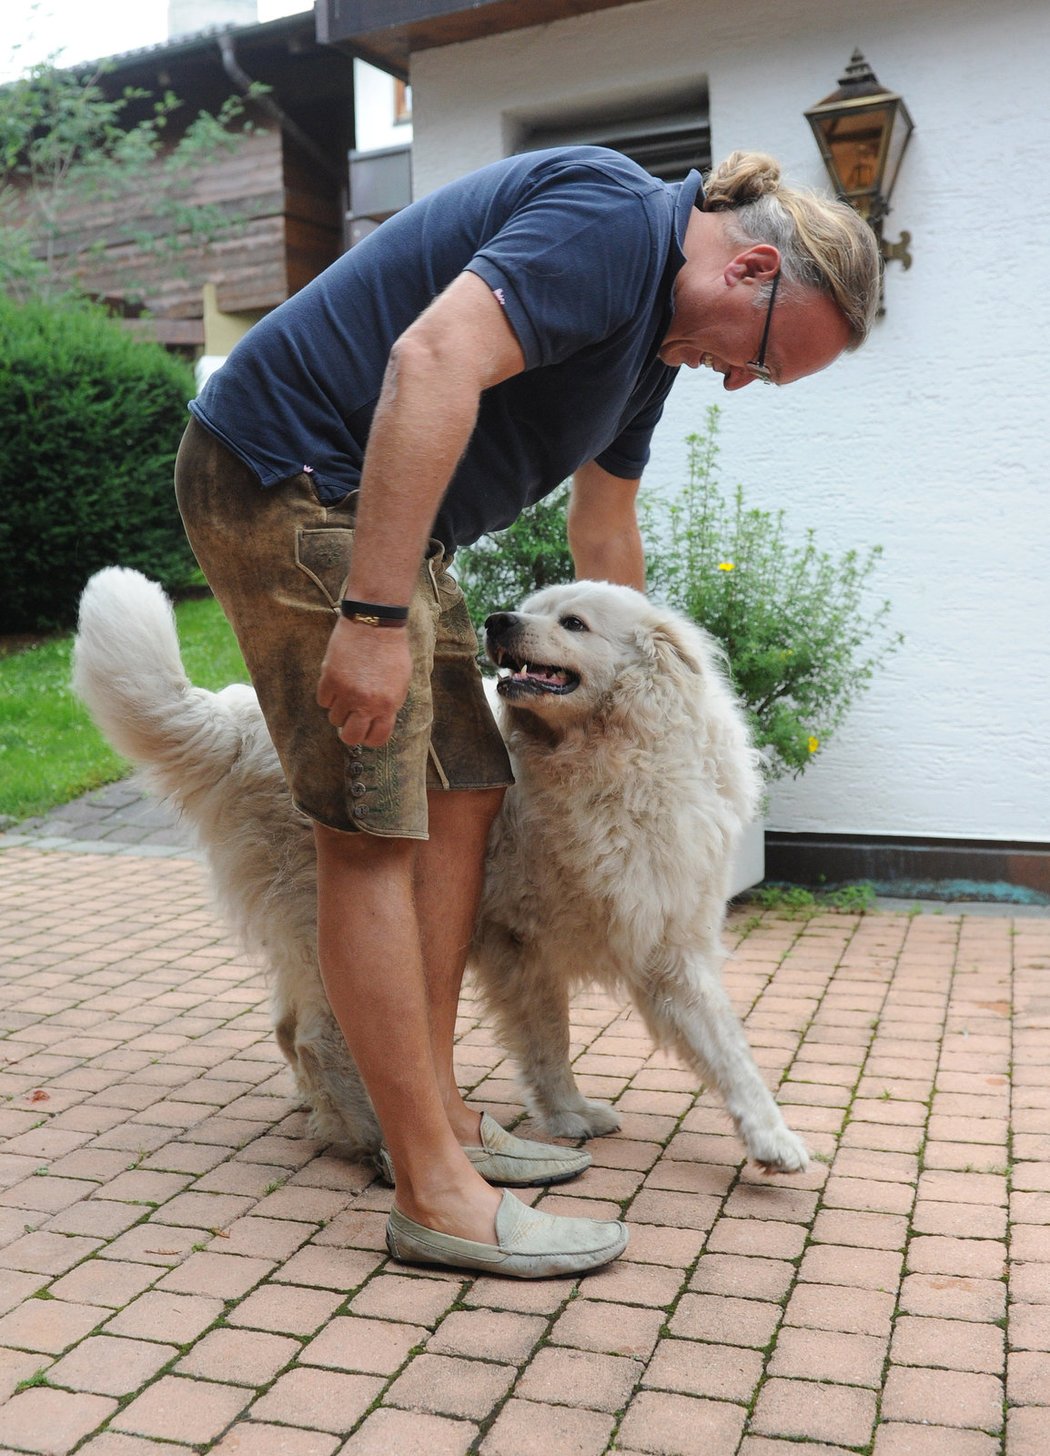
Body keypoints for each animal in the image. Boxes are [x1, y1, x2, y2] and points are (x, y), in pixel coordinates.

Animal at [73, 564, 809, 1170]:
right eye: (534, 609)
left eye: (573, 623)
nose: (499, 620)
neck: (611, 760)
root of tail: (236, 723)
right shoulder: (522, 948)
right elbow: (549, 1041)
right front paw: (569, 1115)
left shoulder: (668, 941)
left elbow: (729, 1053)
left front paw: (772, 1140)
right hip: (329, 912)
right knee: (317, 1037)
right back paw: (368, 1135)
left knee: (287, 1029)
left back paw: (320, 1112)